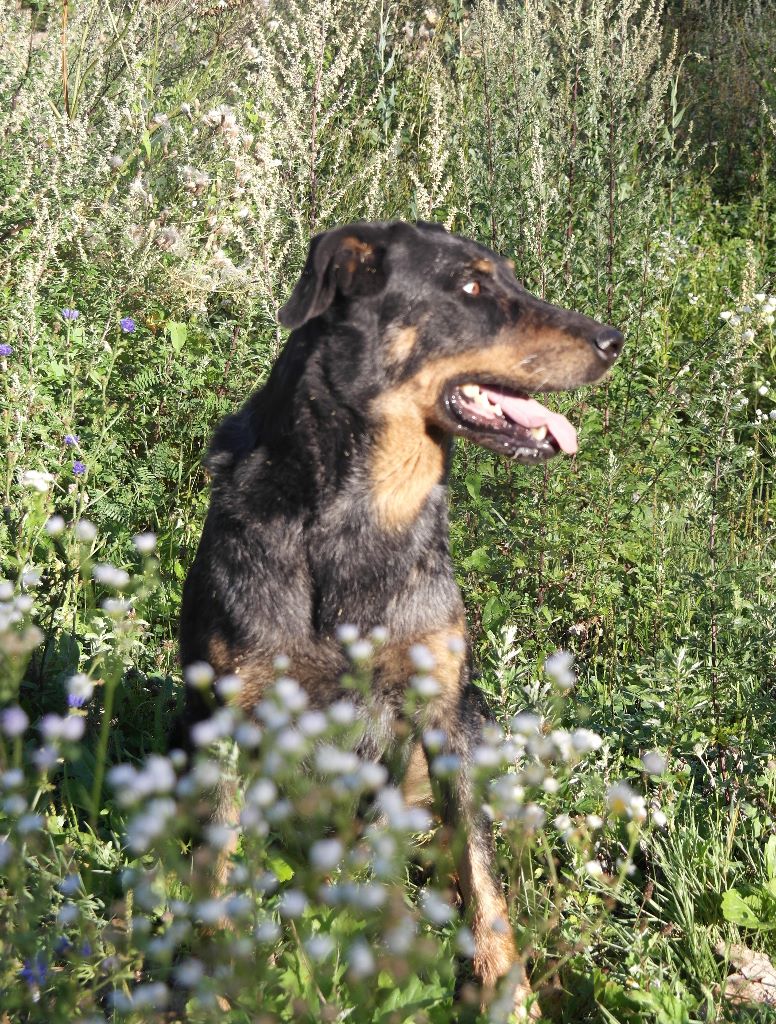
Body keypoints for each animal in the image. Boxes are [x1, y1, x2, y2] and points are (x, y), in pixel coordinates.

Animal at [177, 220, 623, 1016]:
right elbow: (218, 865)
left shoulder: (441, 714)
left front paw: (507, 992)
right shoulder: (230, 715)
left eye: (512, 277)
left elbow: (481, 876)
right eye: (472, 286)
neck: (364, 512)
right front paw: (214, 983)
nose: (615, 339)